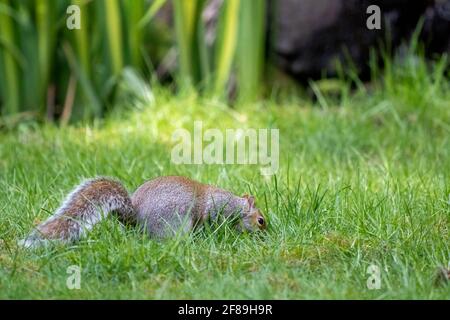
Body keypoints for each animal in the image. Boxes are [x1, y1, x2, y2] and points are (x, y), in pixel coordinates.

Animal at [20, 175, 268, 248]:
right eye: (261, 221)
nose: (266, 236)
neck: (236, 206)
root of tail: (134, 217)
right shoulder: (218, 209)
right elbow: (213, 221)